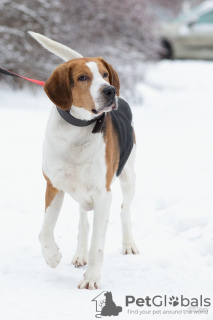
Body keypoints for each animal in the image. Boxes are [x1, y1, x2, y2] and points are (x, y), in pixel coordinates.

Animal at [29, 32, 140, 290]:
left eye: (105, 74)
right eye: (82, 78)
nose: (110, 90)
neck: (78, 129)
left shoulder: (103, 194)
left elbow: (97, 245)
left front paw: (91, 278)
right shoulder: (53, 185)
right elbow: (45, 231)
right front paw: (52, 256)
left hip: (129, 177)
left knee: (125, 210)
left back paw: (128, 244)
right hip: (79, 191)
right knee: (83, 221)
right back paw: (80, 254)